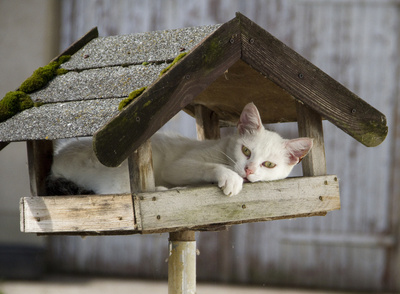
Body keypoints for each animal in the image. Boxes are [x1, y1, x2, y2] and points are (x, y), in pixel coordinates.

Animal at [49, 102, 312, 196]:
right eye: (246, 151)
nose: (248, 170)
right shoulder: (180, 165)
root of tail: (58, 159)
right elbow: (208, 166)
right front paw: (230, 177)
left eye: (269, 165)